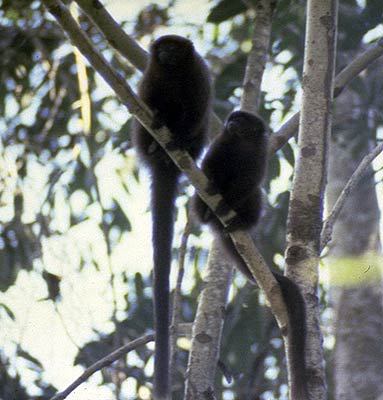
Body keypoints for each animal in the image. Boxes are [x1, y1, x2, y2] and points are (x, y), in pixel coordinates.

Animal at [194, 111, 310, 400]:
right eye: (232, 119)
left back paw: (238, 221)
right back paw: (207, 212)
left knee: (255, 195)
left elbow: (250, 183)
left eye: (243, 121)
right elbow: (210, 167)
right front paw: (213, 186)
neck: (241, 143)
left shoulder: (259, 155)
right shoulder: (221, 143)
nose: (232, 123)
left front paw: (231, 202)